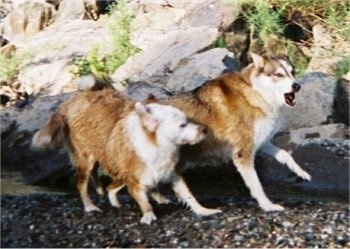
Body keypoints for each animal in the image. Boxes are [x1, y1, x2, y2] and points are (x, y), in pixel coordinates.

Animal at [31, 90, 220, 225]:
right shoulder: (135, 181)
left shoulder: (172, 173)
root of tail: (72, 100)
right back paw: (90, 206)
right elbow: (144, 202)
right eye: (182, 125)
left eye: (188, 120)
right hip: (87, 160)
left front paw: (203, 210)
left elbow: (189, 195)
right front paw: (148, 215)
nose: (204, 130)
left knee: (110, 186)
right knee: (82, 185)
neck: (156, 143)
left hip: (116, 164)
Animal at [156, 52, 312, 212]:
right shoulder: (243, 153)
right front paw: (267, 205)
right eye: (279, 75)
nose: (297, 86)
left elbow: (285, 155)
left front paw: (302, 173)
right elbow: (257, 185)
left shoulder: (260, 142)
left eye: (293, 72)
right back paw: (201, 210)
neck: (255, 91)